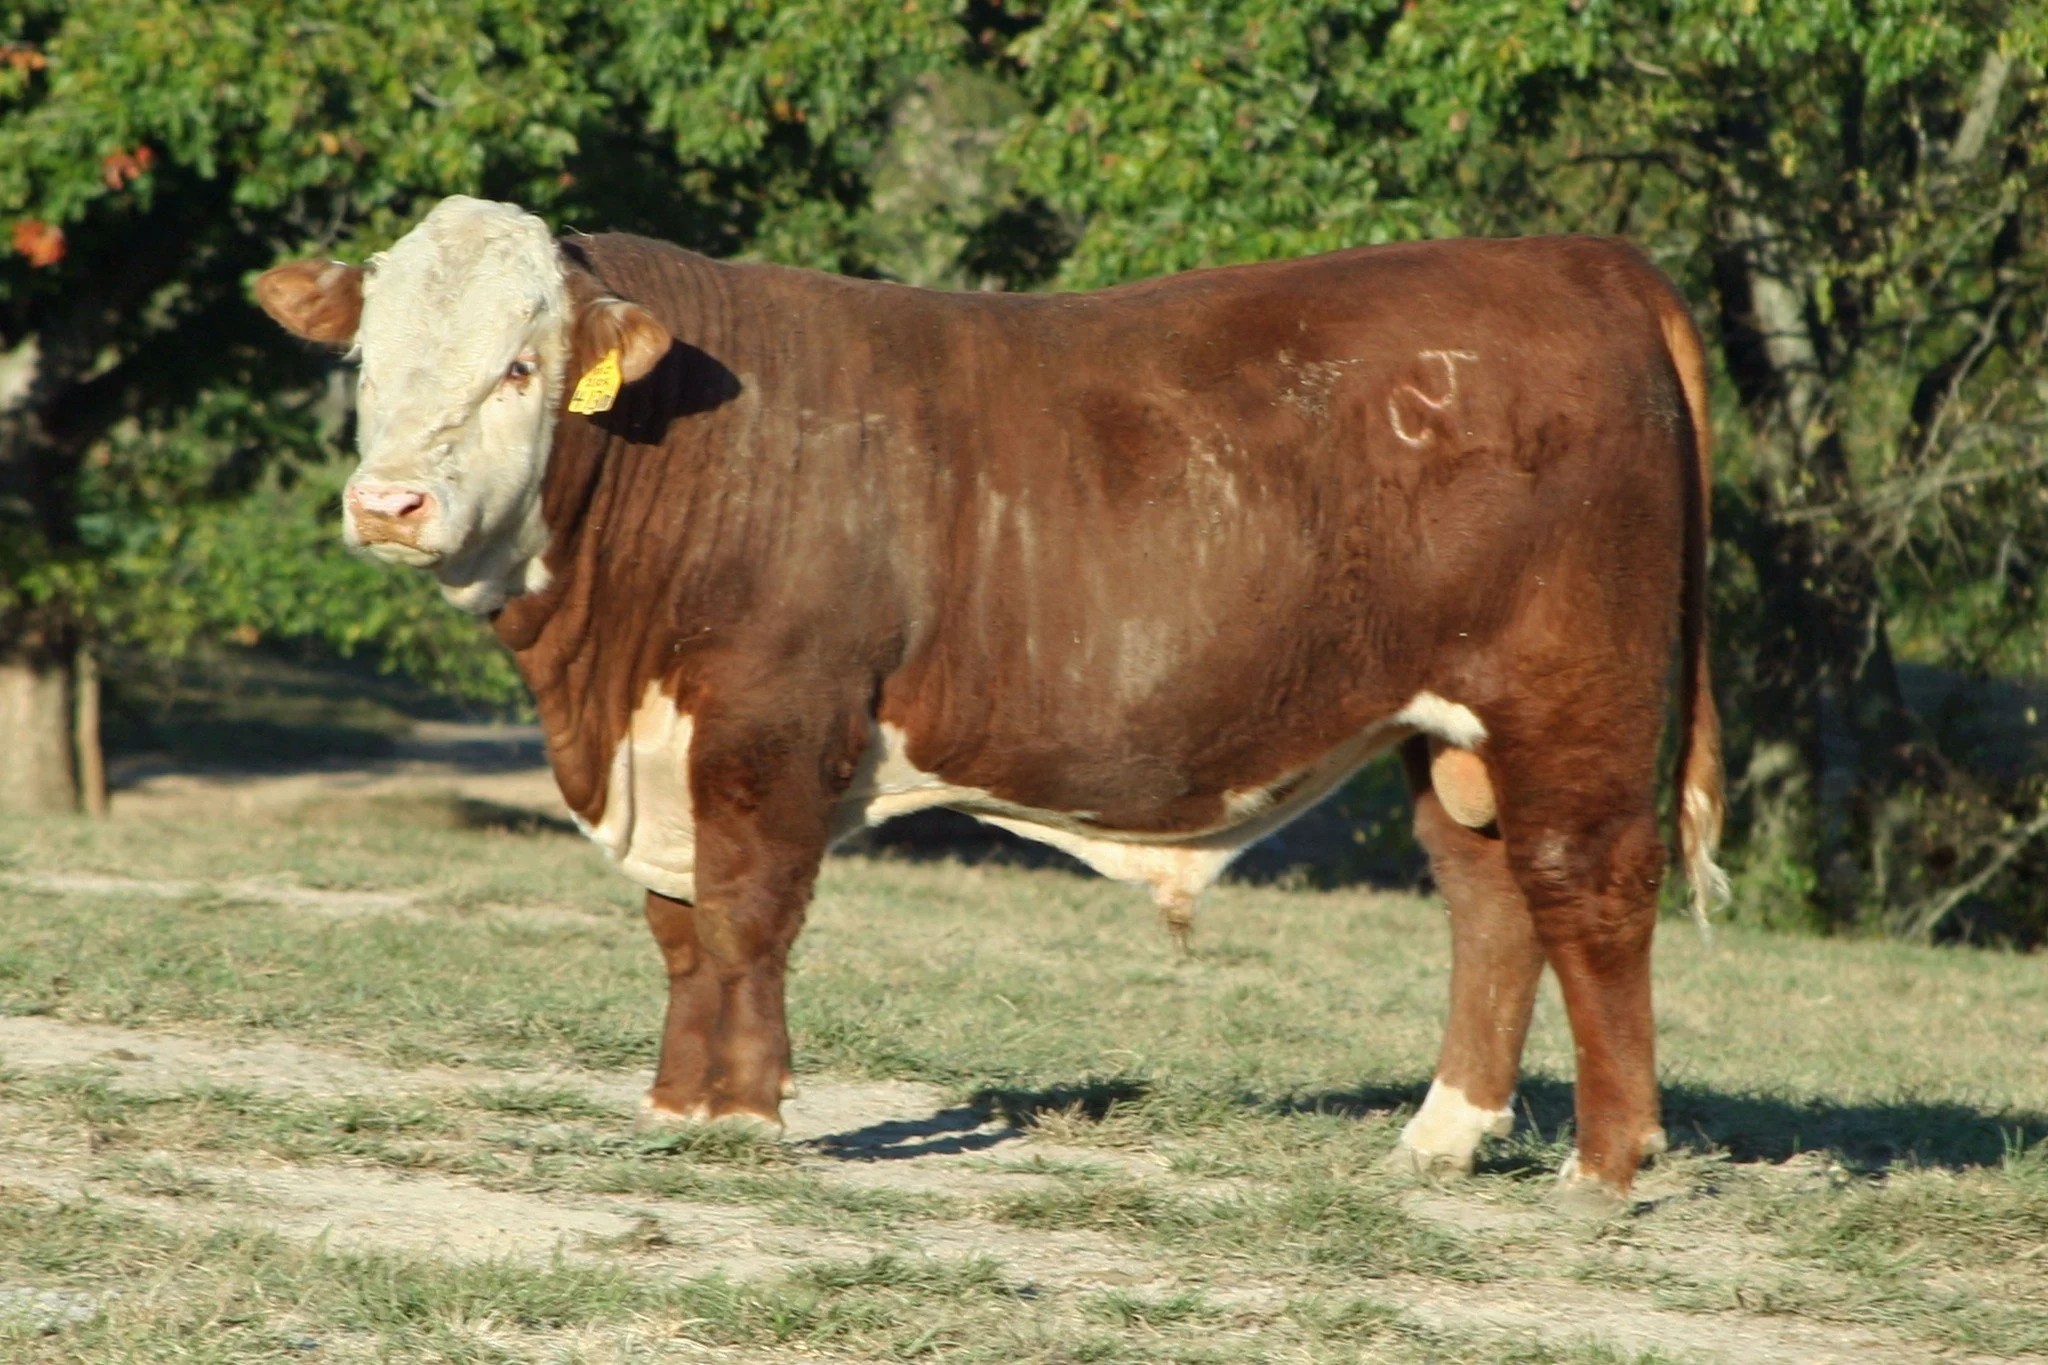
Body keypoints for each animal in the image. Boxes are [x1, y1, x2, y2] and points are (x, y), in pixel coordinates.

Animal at [256, 195, 1725, 1207]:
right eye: (367, 360)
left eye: (520, 366)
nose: (390, 503)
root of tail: (1577, 257)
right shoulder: (664, 747)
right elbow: (680, 930)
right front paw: (675, 1105)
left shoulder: (772, 721)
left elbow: (745, 916)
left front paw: (745, 1114)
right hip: (1445, 723)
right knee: (1488, 897)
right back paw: (1440, 1136)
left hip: (1568, 695)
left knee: (1586, 886)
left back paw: (1606, 1165)